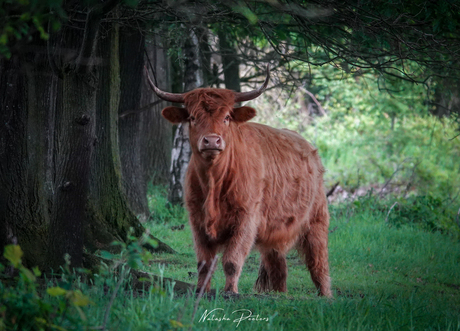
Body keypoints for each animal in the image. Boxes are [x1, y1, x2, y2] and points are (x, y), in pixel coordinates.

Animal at [147, 67, 330, 298]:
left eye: (226, 117)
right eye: (193, 117)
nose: (212, 141)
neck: (214, 183)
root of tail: (307, 145)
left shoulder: (246, 219)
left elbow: (232, 260)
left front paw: (230, 292)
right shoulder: (196, 220)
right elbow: (204, 263)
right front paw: (201, 291)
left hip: (317, 219)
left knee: (318, 263)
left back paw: (326, 295)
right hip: (275, 231)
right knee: (278, 267)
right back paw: (279, 294)